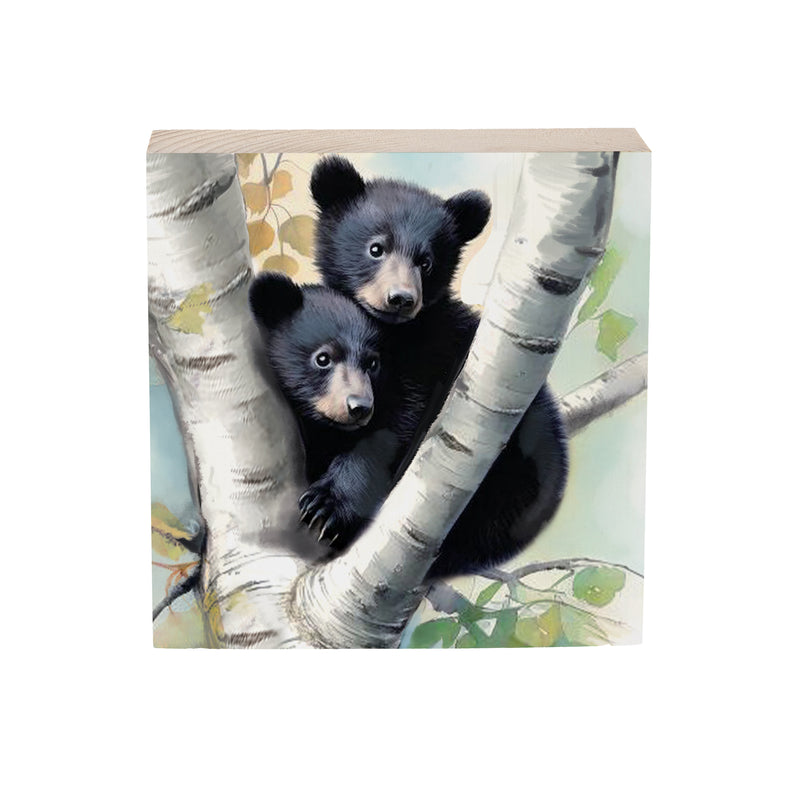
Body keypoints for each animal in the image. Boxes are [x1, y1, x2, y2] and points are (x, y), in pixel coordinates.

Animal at [308, 156, 569, 579]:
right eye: (376, 248)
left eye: (426, 261)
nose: (400, 298)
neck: (396, 334)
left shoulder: (434, 360)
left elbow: (395, 426)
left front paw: (329, 504)